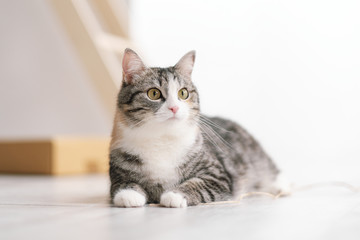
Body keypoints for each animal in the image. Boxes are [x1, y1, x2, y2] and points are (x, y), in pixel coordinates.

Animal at [107, 47, 286, 207]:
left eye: (183, 93)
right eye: (153, 93)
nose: (174, 108)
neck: (162, 139)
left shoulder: (217, 175)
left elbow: (197, 185)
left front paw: (174, 195)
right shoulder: (117, 171)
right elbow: (123, 184)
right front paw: (129, 195)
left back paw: (280, 186)